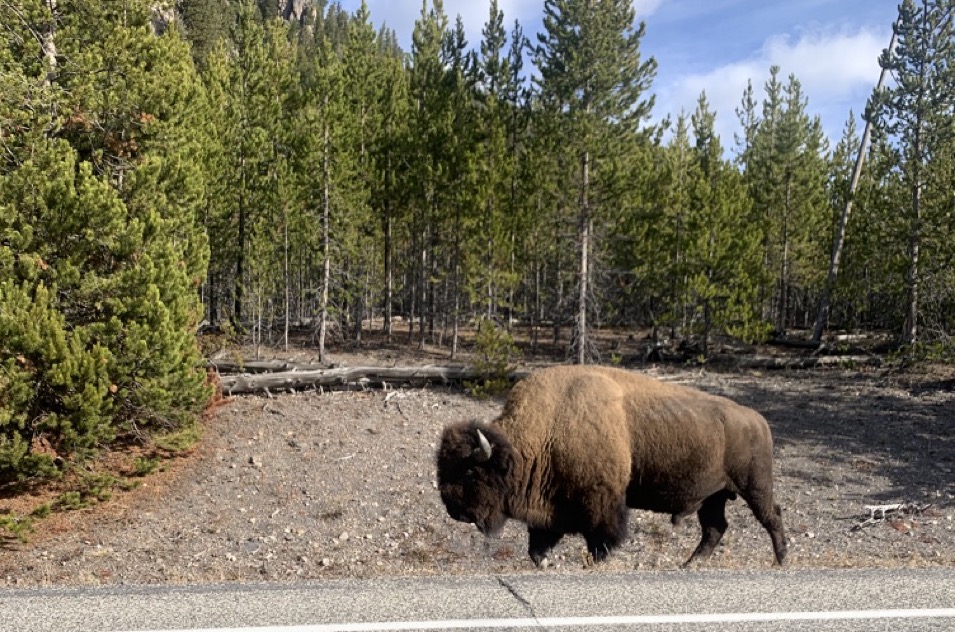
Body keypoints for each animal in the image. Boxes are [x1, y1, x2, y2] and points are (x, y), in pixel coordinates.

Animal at [436, 365, 787, 567]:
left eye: (469, 471)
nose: (453, 509)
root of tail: (758, 420)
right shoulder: (549, 511)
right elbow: (538, 547)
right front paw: (547, 564)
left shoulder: (602, 503)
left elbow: (601, 540)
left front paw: (593, 564)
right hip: (714, 496)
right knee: (715, 528)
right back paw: (690, 564)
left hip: (754, 486)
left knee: (771, 516)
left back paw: (781, 560)